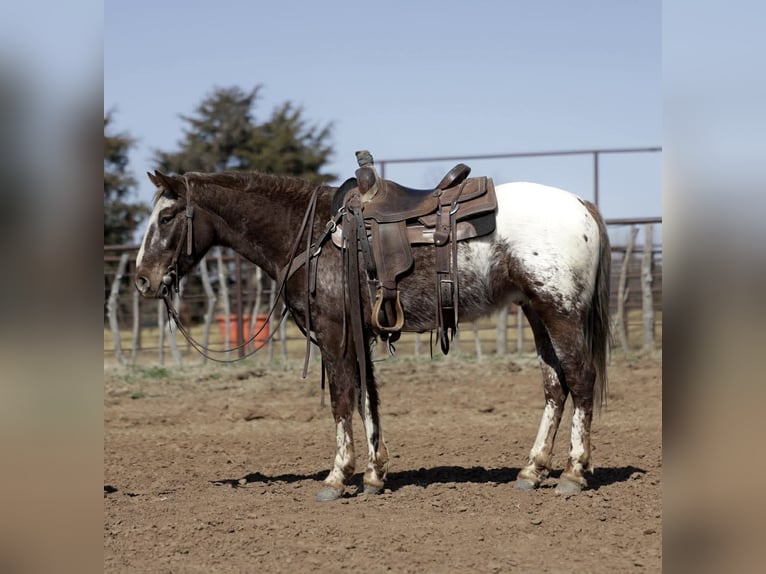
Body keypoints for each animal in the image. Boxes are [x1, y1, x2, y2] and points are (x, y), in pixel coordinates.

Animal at [134, 168, 611, 501]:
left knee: (580, 378)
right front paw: (374, 475)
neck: (311, 236)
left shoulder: (333, 334)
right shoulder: (357, 336)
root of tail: (582, 204)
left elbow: (341, 399)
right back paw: (532, 470)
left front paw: (337, 477)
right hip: (537, 313)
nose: (142, 279)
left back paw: (574, 473)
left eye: (168, 215)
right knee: (555, 386)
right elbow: (368, 397)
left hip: (559, 312)